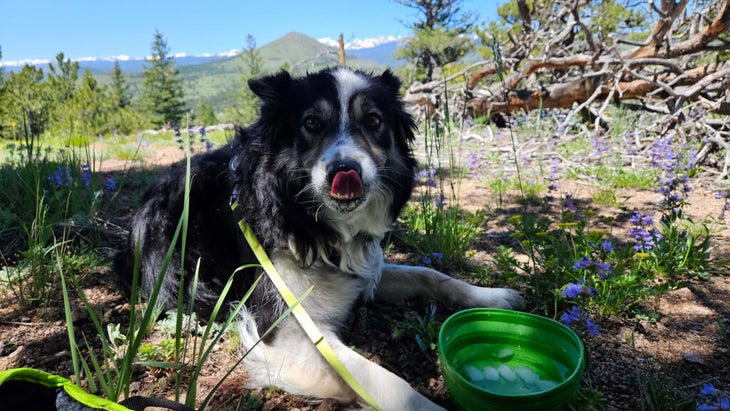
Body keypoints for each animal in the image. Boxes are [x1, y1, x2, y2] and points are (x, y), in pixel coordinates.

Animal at [115, 68, 524, 411]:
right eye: (311, 122)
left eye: (373, 121)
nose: (345, 170)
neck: (301, 214)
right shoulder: (285, 331)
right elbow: (385, 381)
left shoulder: (359, 271)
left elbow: (430, 275)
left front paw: (493, 297)